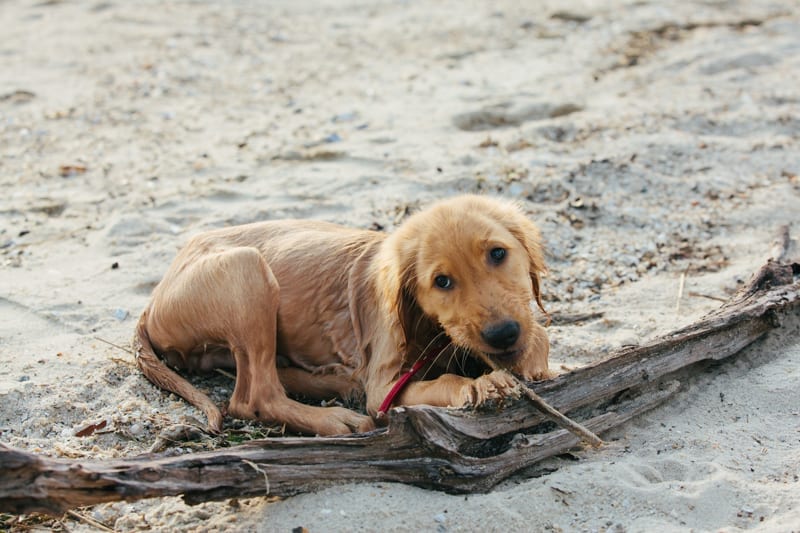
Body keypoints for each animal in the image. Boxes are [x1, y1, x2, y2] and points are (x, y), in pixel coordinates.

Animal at [134, 193, 552, 434]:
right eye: (442, 281)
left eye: (498, 253)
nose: (502, 333)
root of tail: (153, 300)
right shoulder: (384, 389)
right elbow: (443, 382)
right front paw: (480, 385)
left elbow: (540, 334)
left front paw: (530, 361)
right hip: (247, 270)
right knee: (254, 398)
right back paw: (335, 419)